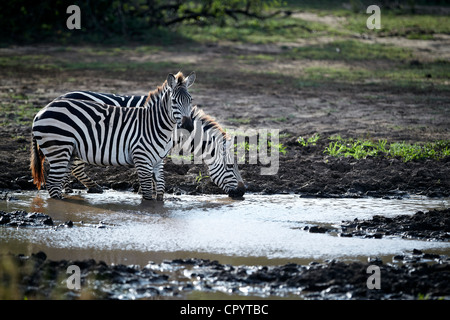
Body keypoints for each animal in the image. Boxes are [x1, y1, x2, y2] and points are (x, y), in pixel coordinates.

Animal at [29, 72, 195, 200]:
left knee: (58, 182)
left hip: (68, 152)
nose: (189, 126)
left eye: (191, 100)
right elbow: (148, 193)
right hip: (59, 149)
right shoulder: (142, 158)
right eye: (174, 101)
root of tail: (40, 111)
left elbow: (160, 191)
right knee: (53, 183)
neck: (155, 125)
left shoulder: (158, 161)